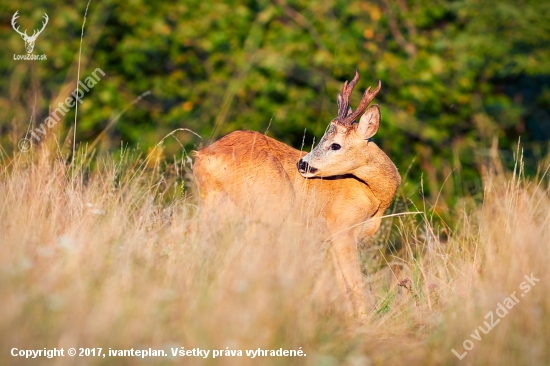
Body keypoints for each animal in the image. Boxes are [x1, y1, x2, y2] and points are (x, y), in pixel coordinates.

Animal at [194, 72, 402, 318]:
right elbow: (354, 282)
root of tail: (208, 156)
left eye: (335, 145)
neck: (374, 197)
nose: (302, 164)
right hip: (271, 208)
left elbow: (339, 284)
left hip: (215, 204)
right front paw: (363, 321)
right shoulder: (341, 227)